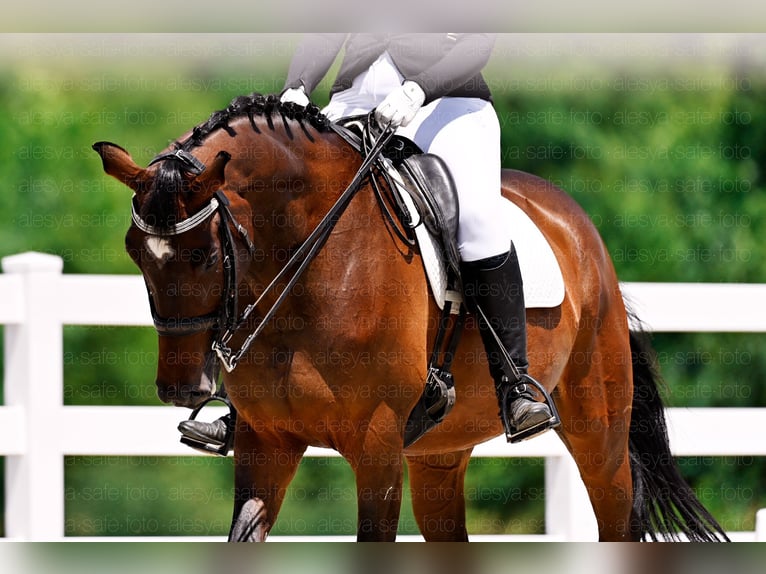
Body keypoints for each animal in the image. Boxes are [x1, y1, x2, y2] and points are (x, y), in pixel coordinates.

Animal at [93, 93, 728, 542]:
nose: (181, 389)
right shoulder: (264, 442)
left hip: (598, 430)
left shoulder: (376, 447)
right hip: (438, 455)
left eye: (204, 255)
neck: (313, 259)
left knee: (617, 515)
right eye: (133, 250)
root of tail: (578, 224)